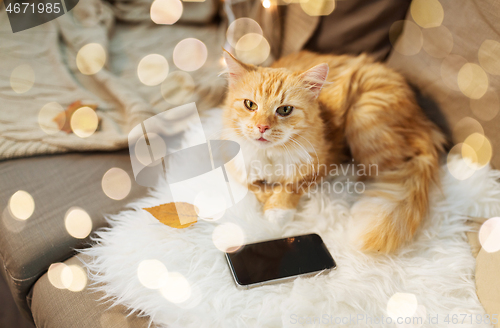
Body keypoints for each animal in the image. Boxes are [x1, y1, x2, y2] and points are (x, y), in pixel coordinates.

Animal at [223, 50, 446, 252]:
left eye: (284, 110)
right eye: (250, 105)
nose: (262, 127)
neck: (270, 156)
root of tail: (426, 125)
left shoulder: (323, 162)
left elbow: (291, 186)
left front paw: (277, 211)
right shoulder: (238, 169)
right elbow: (255, 187)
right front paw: (268, 196)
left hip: (364, 119)